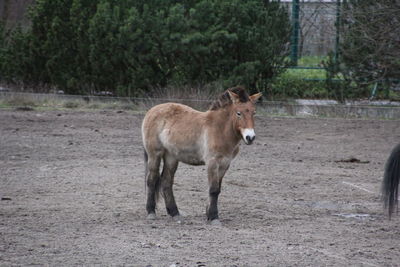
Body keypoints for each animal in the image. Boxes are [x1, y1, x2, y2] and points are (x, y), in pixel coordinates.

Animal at [141, 87, 262, 225]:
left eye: (254, 112)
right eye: (238, 113)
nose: (250, 137)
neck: (220, 129)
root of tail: (151, 111)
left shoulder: (225, 164)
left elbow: (217, 189)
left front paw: (209, 213)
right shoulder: (212, 162)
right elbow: (213, 189)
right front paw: (214, 217)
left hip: (171, 157)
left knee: (166, 182)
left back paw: (175, 213)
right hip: (154, 154)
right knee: (151, 180)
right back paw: (151, 212)